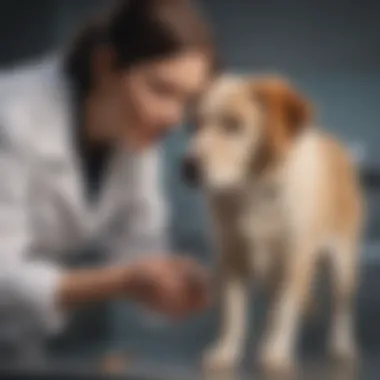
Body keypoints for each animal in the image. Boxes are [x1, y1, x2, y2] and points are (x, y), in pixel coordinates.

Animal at [183, 74, 364, 374]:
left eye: (234, 124)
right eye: (195, 124)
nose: (188, 168)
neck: (253, 191)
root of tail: (333, 142)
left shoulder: (294, 261)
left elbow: (283, 312)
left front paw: (276, 353)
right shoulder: (229, 260)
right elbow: (232, 316)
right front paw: (225, 352)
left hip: (342, 258)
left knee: (342, 304)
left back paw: (341, 346)